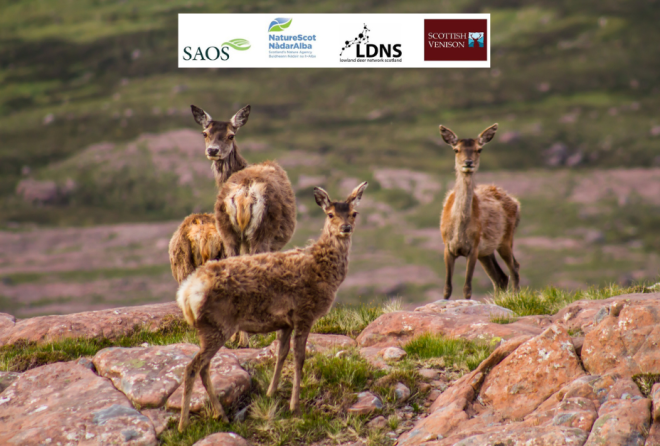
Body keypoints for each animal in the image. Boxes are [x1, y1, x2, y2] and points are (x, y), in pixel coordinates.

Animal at [175, 181, 368, 432]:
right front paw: (295, 406)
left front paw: (271, 392)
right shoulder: (304, 313)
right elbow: (299, 357)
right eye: (330, 213)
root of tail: (186, 294)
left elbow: (281, 353)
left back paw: (221, 415)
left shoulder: (285, 321)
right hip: (216, 325)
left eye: (354, 213)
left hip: (210, 328)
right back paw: (183, 425)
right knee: (192, 367)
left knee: (204, 367)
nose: (346, 227)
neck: (322, 270)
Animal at [186, 103, 296, 346]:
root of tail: (244, 194)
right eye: (205, 133)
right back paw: (248, 337)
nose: (213, 150)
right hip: (262, 233)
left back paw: (238, 337)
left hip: (228, 232)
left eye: (231, 135)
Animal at [438, 123, 520, 302]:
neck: (459, 231)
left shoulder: (474, 247)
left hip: (506, 239)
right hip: (486, 252)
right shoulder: (447, 246)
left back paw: (515, 298)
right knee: (500, 277)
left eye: (479, 149)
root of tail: (516, 203)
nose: (468, 163)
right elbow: (447, 289)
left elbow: (467, 289)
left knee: (514, 268)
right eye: (456, 149)